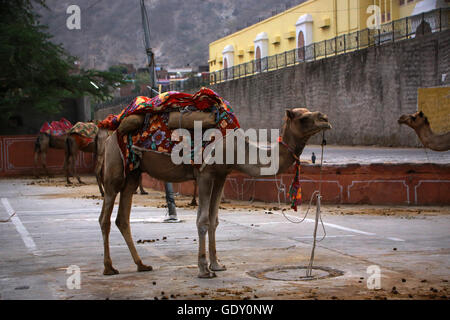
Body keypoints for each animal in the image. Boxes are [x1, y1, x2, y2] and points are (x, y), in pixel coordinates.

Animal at [98, 89, 330, 278]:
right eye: (303, 117)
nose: (325, 118)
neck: (236, 148)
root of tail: (112, 131)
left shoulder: (221, 175)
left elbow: (214, 219)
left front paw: (217, 264)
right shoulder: (205, 174)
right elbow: (202, 220)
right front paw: (203, 269)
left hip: (133, 172)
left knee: (122, 218)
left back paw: (141, 265)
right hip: (115, 168)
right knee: (105, 217)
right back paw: (109, 268)